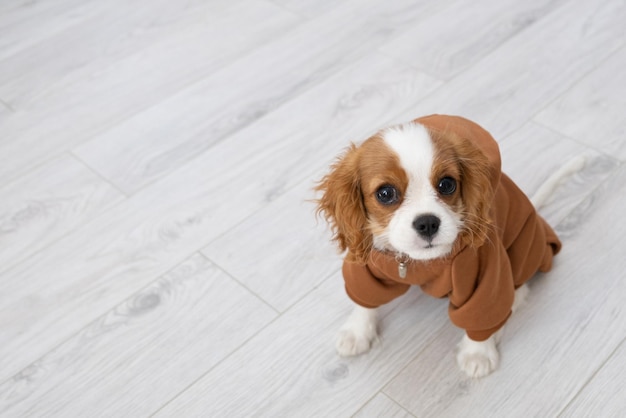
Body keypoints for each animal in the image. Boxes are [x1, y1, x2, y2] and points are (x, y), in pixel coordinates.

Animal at [314, 114, 576, 378]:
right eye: (385, 193)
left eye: (447, 184)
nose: (427, 223)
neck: (416, 263)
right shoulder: (368, 265)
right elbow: (364, 298)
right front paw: (357, 332)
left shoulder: (484, 272)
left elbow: (482, 312)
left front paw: (478, 353)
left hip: (524, 245)